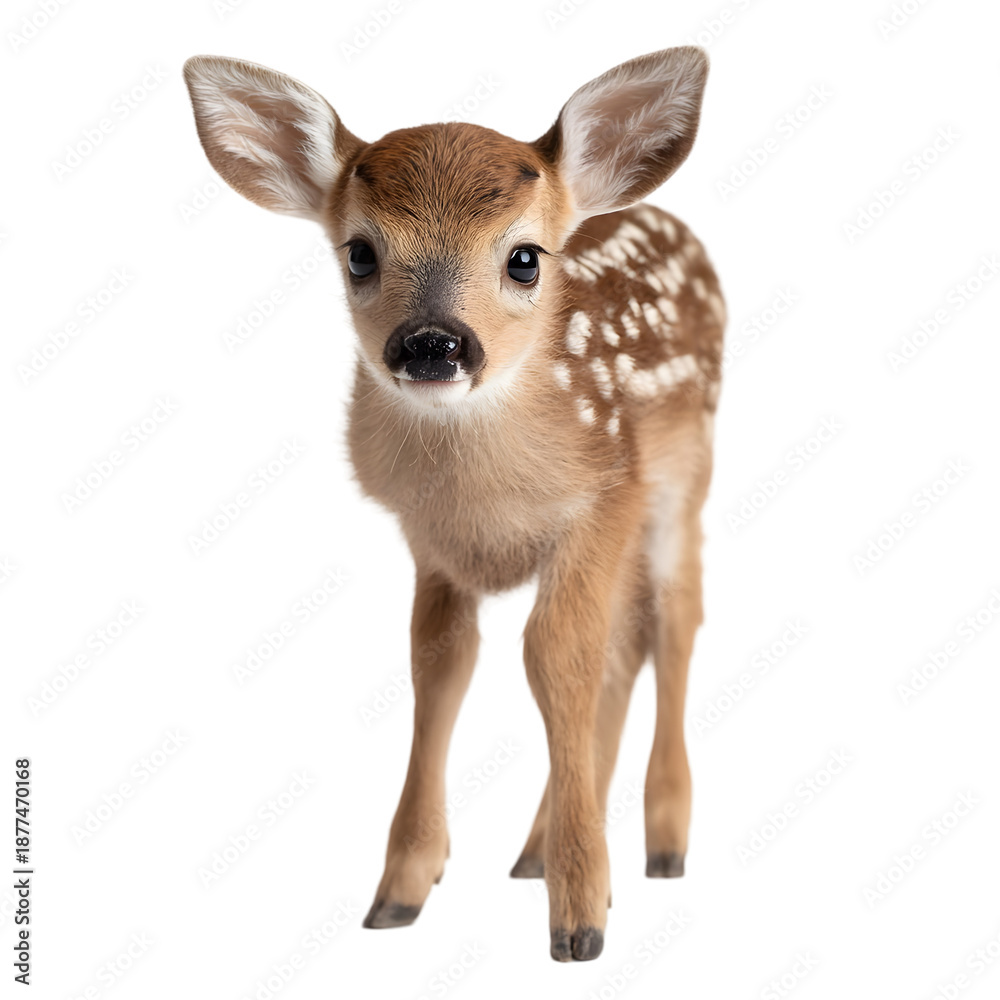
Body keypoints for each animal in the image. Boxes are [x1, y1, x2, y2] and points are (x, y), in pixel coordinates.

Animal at [183, 45, 724, 962]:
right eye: (359, 254)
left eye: (525, 258)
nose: (433, 342)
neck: (482, 496)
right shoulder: (430, 542)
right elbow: (441, 667)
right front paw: (401, 890)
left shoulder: (603, 496)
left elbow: (557, 656)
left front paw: (581, 920)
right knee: (627, 643)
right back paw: (538, 850)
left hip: (684, 479)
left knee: (674, 621)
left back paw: (663, 846)